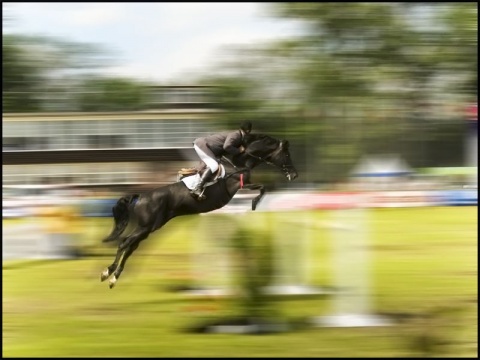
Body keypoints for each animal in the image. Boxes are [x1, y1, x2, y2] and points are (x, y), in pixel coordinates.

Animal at [100, 134, 298, 288]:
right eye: (287, 154)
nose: (294, 175)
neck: (239, 163)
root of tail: (141, 196)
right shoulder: (239, 185)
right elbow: (263, 188)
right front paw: (254, 204)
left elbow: (263, 188)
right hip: (145, 227)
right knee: (124, 243)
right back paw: (107, 272)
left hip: (149, 228)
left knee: (131, 247)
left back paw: (114, 278)